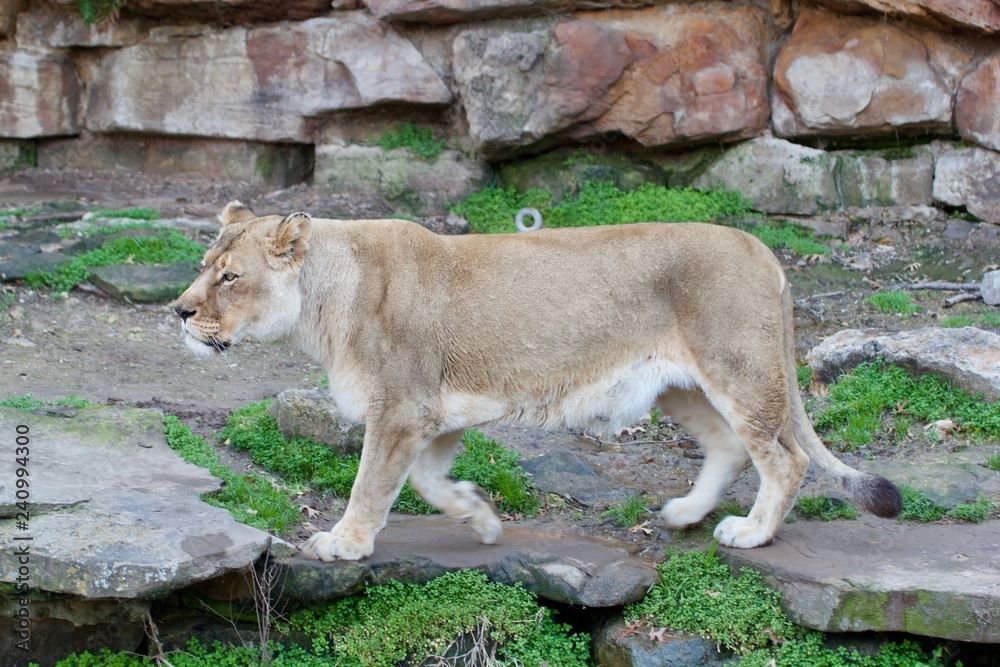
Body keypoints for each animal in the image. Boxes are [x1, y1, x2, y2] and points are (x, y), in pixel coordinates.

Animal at [174, 201, 901, 561]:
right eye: (204, 265)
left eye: (230, 276)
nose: (178, 311)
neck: (324, 299)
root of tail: (762, 249)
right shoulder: (434, 414)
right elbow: (428, 482)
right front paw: (481, 517)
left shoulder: (402, 407)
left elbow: (371, 484)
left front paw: (343, 543)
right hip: (680, 385)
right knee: (727, 447)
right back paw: (685, 514)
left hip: (739, 372)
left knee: (786, 457)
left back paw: (751, 532)